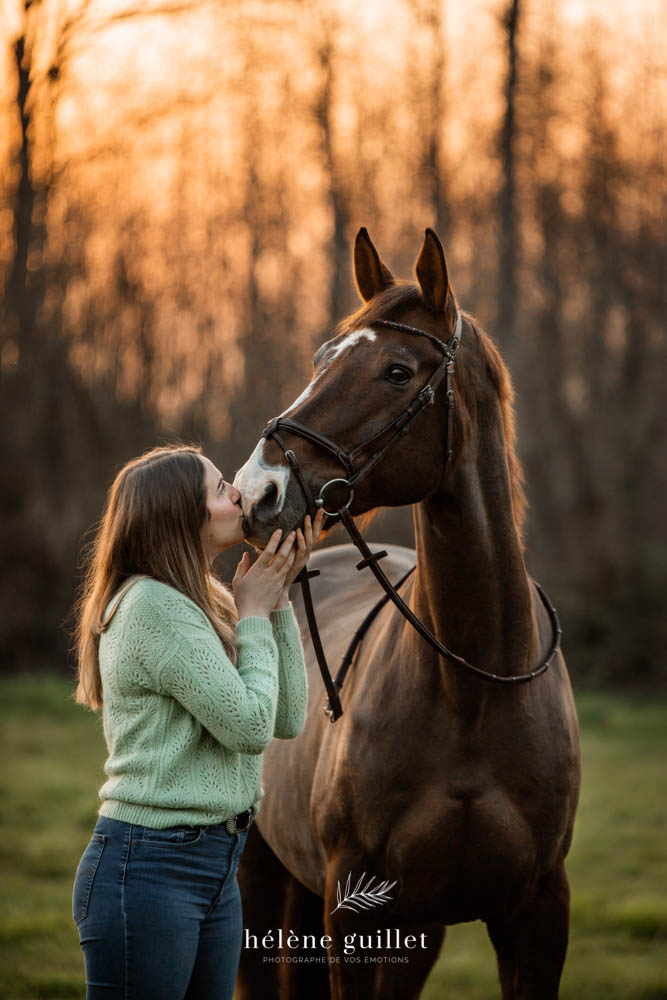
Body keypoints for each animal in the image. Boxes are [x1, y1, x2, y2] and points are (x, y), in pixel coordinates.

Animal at [232, 229, 580, 1000]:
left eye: (396, 371)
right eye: (321, 360)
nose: (254, 492)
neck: (473, 687)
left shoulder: (537, 912)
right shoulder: (351, 906)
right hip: (259, 876)